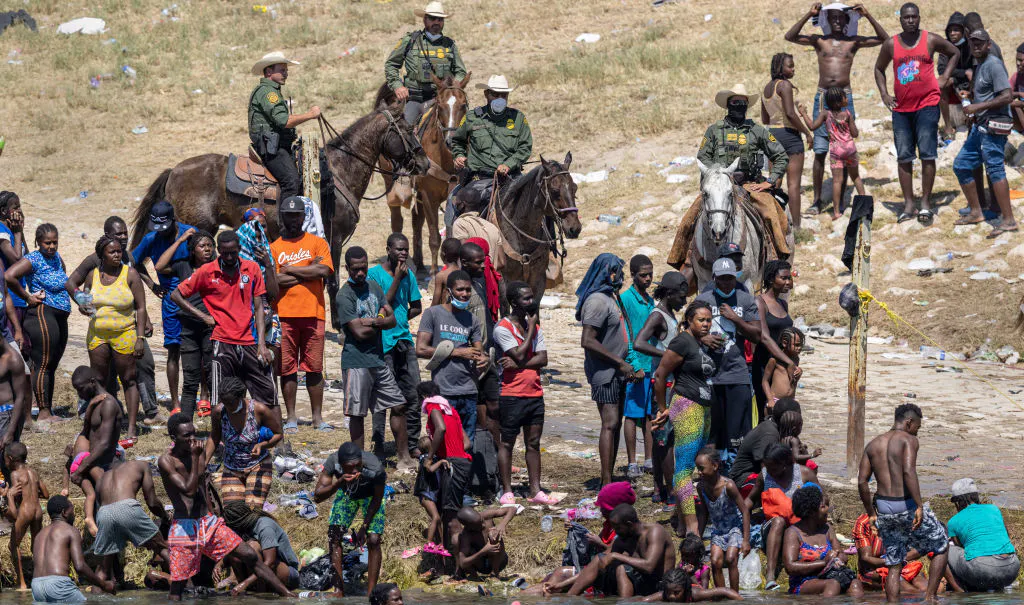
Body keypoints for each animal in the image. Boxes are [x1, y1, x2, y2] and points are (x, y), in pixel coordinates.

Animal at [130, 85, 429, 323]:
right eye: (407, 129)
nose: (424, 163)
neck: (338, 171)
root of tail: (174, 170)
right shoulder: (333, 238)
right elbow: (332, 281)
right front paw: (339, 325)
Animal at [381, 73, 470, 274]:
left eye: (463, 105)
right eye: (440, 105)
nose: (452, 140)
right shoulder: (430, 197)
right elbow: (435, 237)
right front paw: (435, 273)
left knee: (416, 223)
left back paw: (420, 263)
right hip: (391, 185)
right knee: (397, 221)